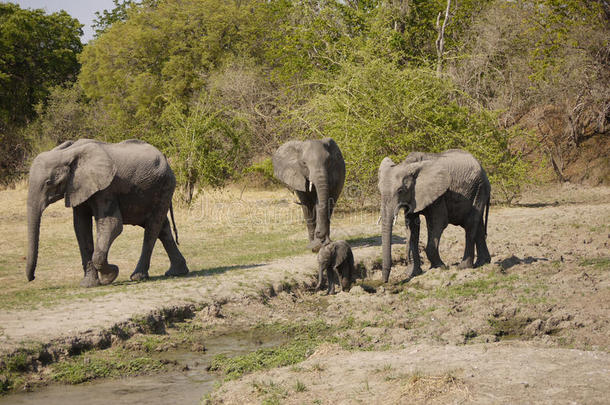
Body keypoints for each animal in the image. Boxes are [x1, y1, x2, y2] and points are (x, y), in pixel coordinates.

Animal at [25, 139, 188, 288]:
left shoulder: (106, 188)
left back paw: (138, 276)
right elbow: (80, 227)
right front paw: (88, 284)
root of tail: (165, 158)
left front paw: (110, 275)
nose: (32, 278)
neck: (67, 153)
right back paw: (176, 272)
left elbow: (112, 224)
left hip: (165, 186)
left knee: (152, 227)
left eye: (48, 183)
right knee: (163, 228)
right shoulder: (78, 187)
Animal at [376, 148, 490, 280]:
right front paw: (412, 273)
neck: (409, 164)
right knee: (478, 224)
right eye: (379, 190)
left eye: (400, 191)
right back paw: (483, 263)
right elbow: (412, 226)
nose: (384, 281)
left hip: (479, 189)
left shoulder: (438, 194)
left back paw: (463, 267)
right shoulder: (414, 197)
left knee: (470, 224)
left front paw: (440, 267)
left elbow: (438, 222)